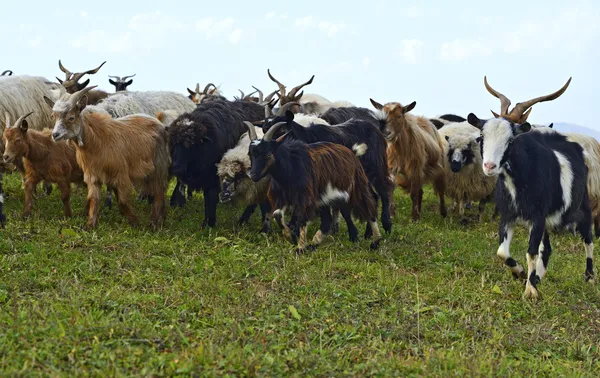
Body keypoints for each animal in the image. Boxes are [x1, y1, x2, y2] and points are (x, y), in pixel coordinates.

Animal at [42, 85, 169, 229]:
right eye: (53, 116)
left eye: (71, 117)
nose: (55, 135)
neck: (97, 141)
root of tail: (159, 123)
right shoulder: (92, 176)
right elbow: (94, 199)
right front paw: (89, 225)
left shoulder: (121, 175)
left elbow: (123, 203)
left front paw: (136, 223)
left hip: (159, 167)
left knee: (159, 192)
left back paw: (156, 222)